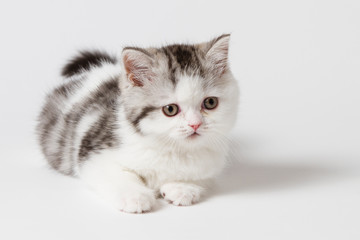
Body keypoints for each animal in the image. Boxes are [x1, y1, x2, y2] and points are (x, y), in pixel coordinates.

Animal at [36, 34, 239, 214]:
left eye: (210, 103)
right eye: (170, 109)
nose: (195, 124)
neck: (171, 148)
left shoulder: (211, 163)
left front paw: (182, 187)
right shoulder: (92, 150)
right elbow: (118, 173)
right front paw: (134, 196)